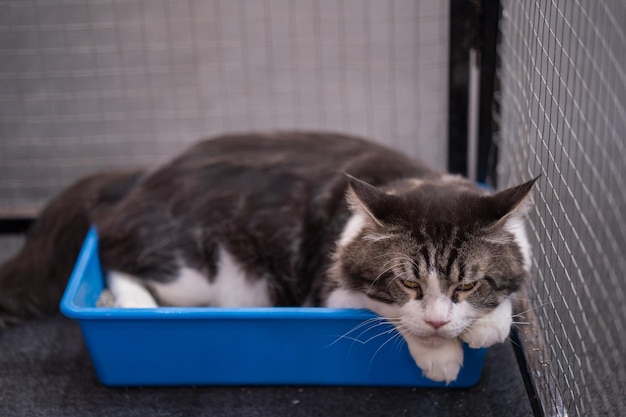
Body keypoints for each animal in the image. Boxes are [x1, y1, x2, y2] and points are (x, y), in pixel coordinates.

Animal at [0, 131, 532, 384]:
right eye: (408, 284)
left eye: (467, 284)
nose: (441, 322)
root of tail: (143, 176)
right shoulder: (328, 289)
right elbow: (389, 315)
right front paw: (440, 354)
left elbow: (506, 299)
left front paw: (487, 325)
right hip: (194, 270)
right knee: (112, 251)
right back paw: (129, 306)